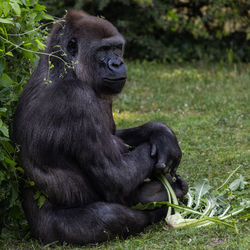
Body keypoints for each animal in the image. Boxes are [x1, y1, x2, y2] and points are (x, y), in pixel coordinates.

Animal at [12, 10, 188, 246]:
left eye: (116, 48)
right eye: (103, 50)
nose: (117, 63)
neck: (66, 69)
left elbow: (116, 135)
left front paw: (162, 133)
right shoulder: (77, 99)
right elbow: (117, 177)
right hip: (49, 234)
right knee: (109, 216)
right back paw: (159, 205)